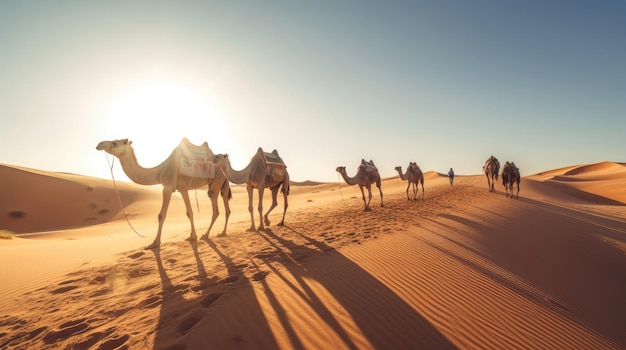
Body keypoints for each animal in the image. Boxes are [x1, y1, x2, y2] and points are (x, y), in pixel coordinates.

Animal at [96, 137, 233, 249]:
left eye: (115, 143)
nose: (99, 144)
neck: (160, 171)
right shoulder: (182, 189)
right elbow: (189, 212)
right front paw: (192, 236)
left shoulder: (167, 188)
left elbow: (161, 215)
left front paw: (154, 243)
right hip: (224, 184)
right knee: (227, 209)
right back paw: (222, 233)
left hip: (216, 182)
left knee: (216, 210)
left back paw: (206, 235)